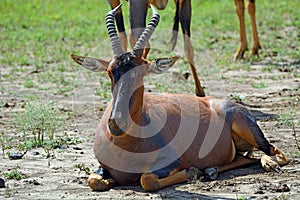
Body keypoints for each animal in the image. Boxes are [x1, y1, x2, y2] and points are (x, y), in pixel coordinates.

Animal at [71, 5, 288, 192]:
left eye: (142, 73)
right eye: (110, 71)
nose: (116, 123)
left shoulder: (172, 162)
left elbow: (147, 179)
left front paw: (192, 171)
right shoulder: (102, 167)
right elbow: (94, 180)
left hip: (251, 132)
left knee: (276, 153)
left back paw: (266, 165)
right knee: (246, 159)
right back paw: (211, 170)